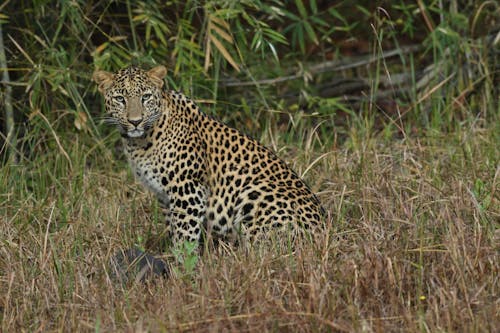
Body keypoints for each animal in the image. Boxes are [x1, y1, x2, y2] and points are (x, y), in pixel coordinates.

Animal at [93, 65, 324, 248]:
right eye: (120, 99)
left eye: (146, 97)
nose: (135, 121)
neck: (139, 142)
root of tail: (323, 230)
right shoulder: (164, 196)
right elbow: (173, 228)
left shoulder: (188, 191)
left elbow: (184, 234)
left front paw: (181, 268)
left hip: (255, 191)